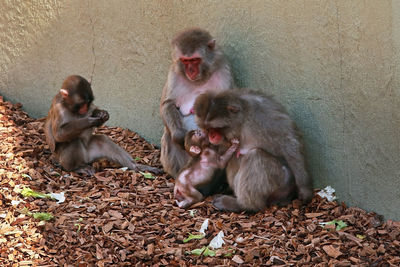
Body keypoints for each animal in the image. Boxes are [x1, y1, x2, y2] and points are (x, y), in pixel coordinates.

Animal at [159, 28, 234, 178]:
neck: (200, 79)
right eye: (185, 60)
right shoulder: (174, 72)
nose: (190, 71)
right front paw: (180, 136)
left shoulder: (224, 70)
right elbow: (167, 104)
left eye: (194, 59)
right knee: (168, 133)